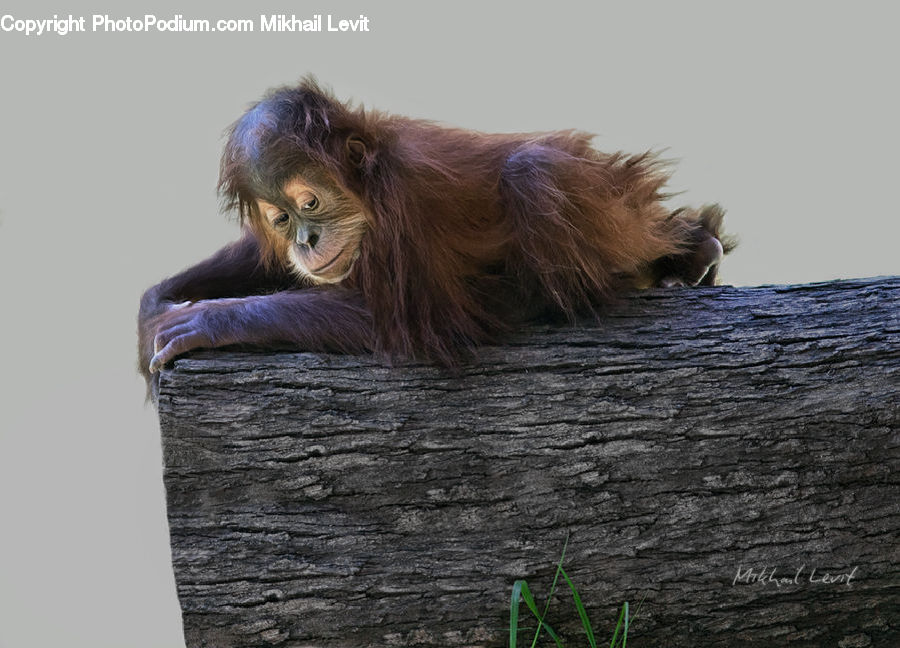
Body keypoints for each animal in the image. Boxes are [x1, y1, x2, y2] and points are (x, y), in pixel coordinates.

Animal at [138, 77, 734, 398]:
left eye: (309, 204)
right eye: (280, 219)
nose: (306, 239)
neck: (372, 183)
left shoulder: (406, 200)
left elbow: (420, 321)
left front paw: (210, 320)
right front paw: (156, 302)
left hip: (616, 204)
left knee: (532, 169)